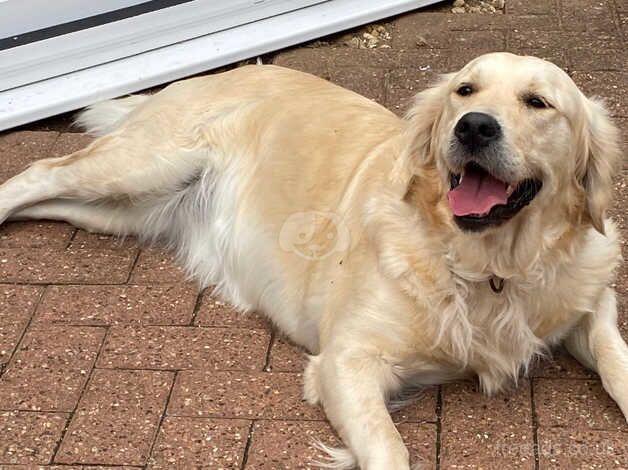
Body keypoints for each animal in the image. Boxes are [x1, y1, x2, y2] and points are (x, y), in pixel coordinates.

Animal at [1, 51, 628, 466]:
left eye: (538, 102)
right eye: (465, 91)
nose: (473, 127)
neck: (493, 269)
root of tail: (207, 74)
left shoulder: (590, 296)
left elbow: (613, 355)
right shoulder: (346, 360)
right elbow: (390, 451)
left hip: (118, 211)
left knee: (53, 197)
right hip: (140, 165)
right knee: (38, 171)